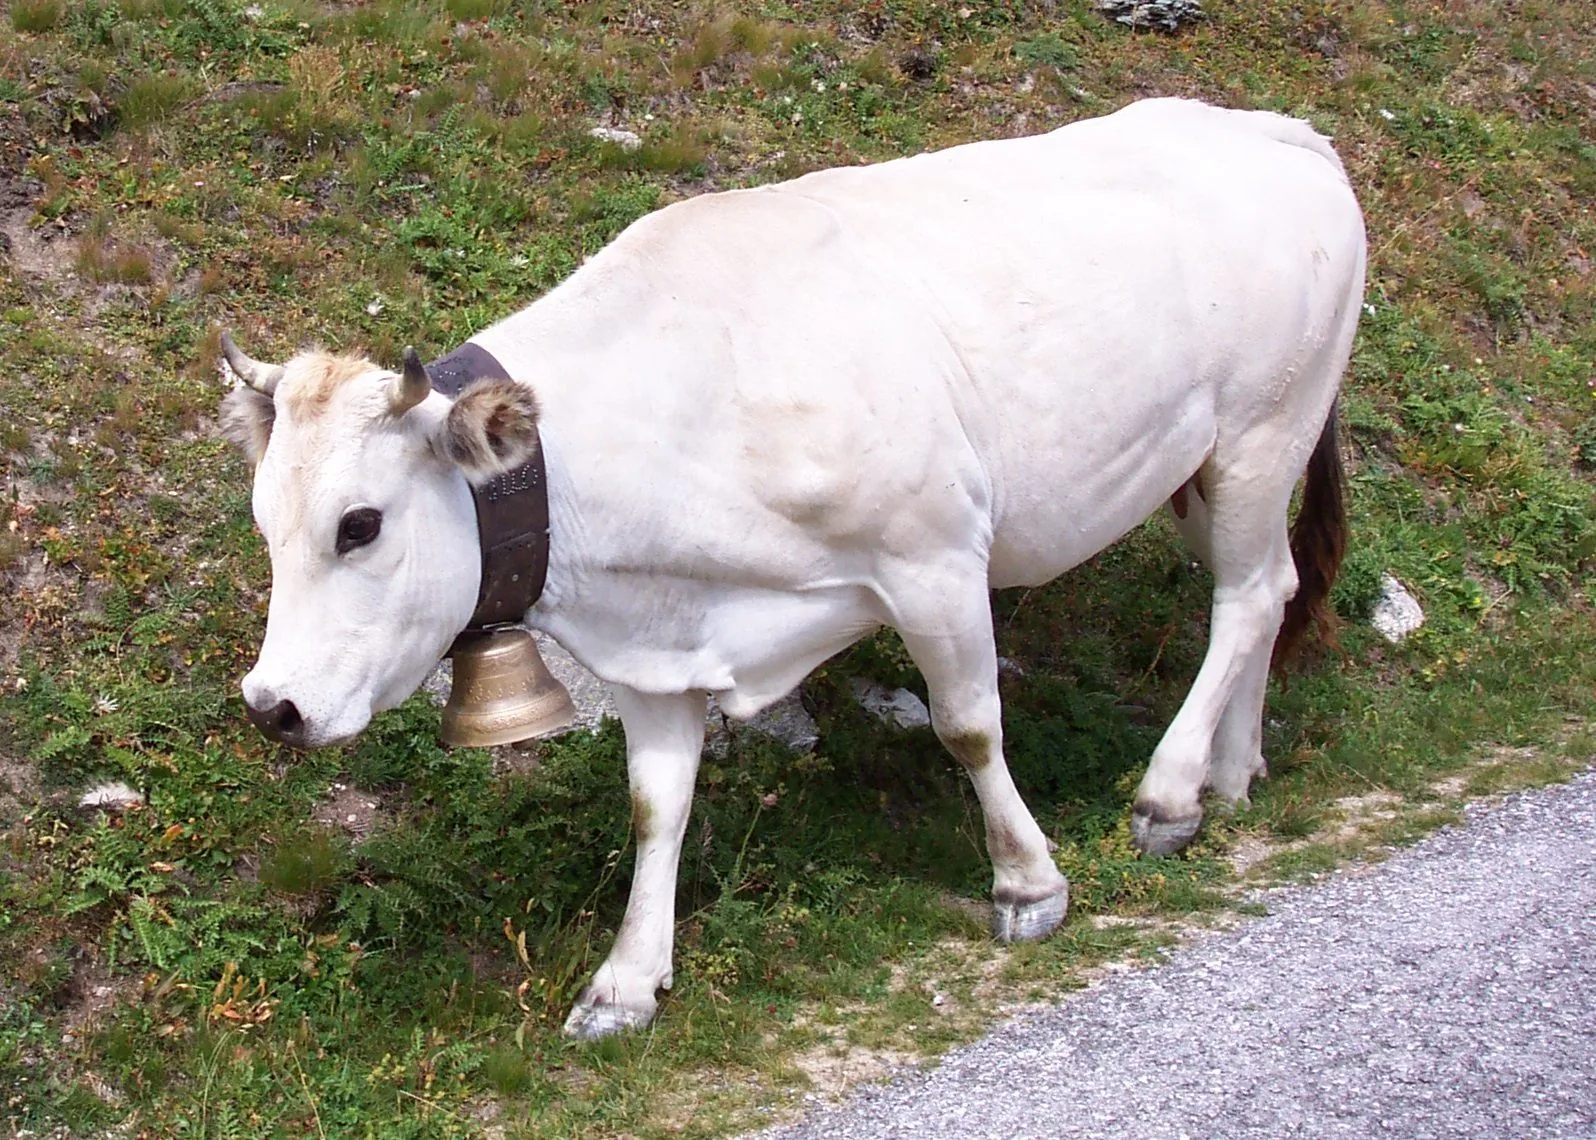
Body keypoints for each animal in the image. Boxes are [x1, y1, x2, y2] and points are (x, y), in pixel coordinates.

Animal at [217, 98, 1364, 1039]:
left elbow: (968, 725)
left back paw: (1170, 792)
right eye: (265, 521)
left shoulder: (934, 556)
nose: (273, 707)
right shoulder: (658, 650)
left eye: (359, 525)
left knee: (1247, 597)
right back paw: (1233, 773)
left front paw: (1028, 885)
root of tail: (1277, 130)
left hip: (1263, 429)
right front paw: (625, 983)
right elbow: (656, 805)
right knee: (1269, 591)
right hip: (1200, 470)